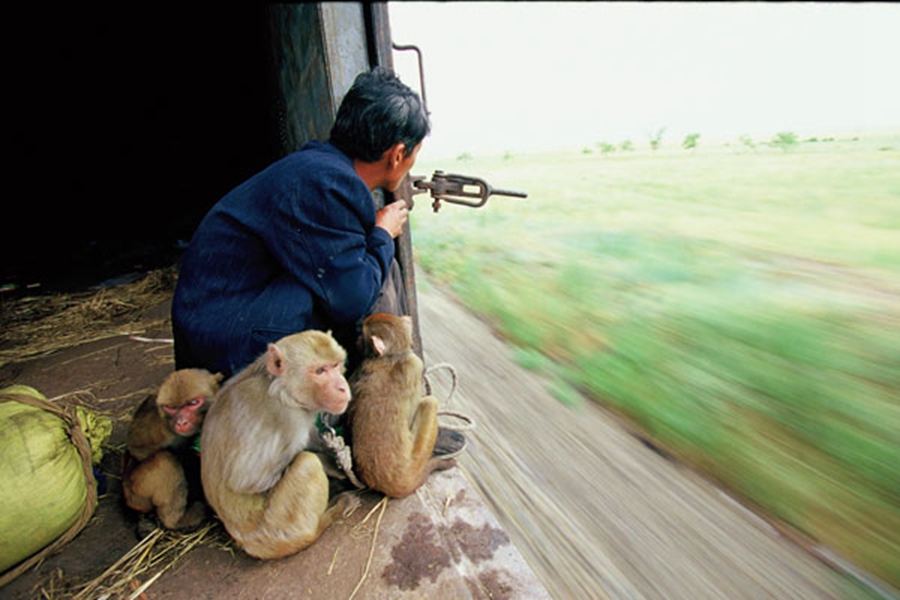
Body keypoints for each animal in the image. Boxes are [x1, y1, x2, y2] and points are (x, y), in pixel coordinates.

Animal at [122, 368, 224, 532]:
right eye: (171, 407)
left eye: (193, 403)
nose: (181, 422)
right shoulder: (160, 427)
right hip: (137, 490)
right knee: (166, 459)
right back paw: (176, 521)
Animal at [200, 328, 358, 556]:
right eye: (320, 371)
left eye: (336, 365)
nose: (342, 387)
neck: (282, 391)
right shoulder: (283, 417)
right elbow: (249, 481)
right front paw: (330, 463)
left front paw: (335, 454)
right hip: (279, 529)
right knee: (307, 464)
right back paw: (327, 518)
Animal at [346, 312, 458, 500]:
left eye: (363, 335)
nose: (357, 340)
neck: (392, 356)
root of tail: (399, 485)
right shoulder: (415, 365)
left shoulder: (362, 368)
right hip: (417, 457)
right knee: (430, 402)